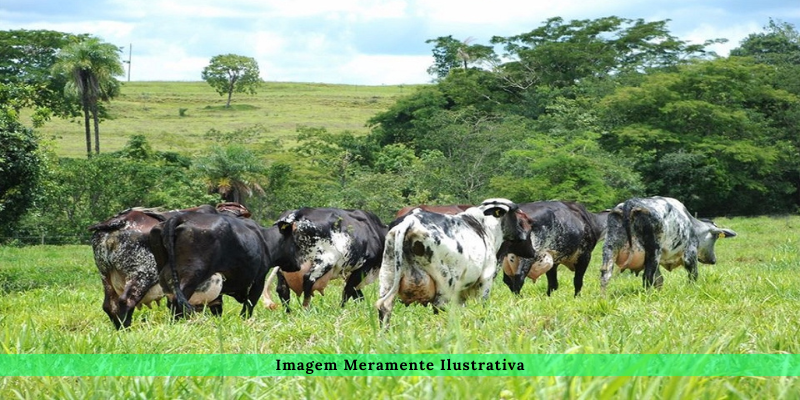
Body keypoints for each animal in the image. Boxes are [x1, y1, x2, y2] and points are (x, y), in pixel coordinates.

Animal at [149, 210, 296, 319]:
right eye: (297, 242)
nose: (297, 266)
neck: (265, 240)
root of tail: (181, 216)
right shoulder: (258, 280)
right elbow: (249, 305)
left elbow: (217, 307)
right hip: (191, 274)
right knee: (179, 301)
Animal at [375, 198, 535, 328]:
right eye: (519, 219)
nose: (533, 251)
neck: (483, 226)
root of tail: (411, 222)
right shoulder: (486, 279)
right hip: (444, 283)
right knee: (439, 307)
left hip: (388, 276)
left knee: (385, 308)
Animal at [599, 196, 737, 290]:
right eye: (715, 238)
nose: (713, 260)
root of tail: (630, 203)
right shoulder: (690, 253)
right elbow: (693, 275)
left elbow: (659, 279)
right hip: (653, 251)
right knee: (647, 277)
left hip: (610, 247)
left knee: (605, 275)